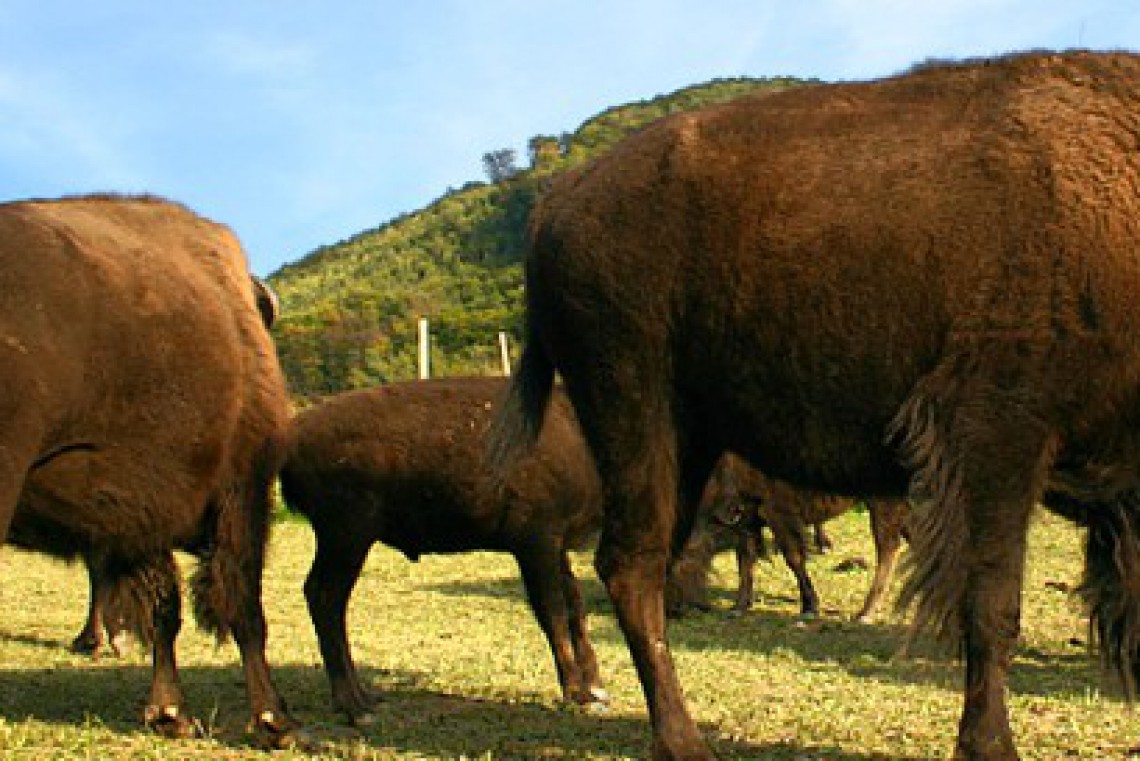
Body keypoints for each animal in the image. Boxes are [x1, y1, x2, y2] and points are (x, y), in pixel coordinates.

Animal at [0, 191, 298, 742]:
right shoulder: (241, 495)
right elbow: (243, 606)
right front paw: (273, 720)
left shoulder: (135, 516)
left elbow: (163, 609)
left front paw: (169, 713)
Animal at [277, 378, 611, 724]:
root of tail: (292, 434)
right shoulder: (536, 541)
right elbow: (554, 613)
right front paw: (577, 694)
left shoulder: (558, 546)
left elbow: (576, 610)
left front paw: (596, 690)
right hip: (347, 537)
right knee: (325, 597)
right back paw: (354, 705)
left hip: (343, 540)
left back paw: (365, 698)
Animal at [487, 48, 1140, 761]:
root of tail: (557, 202)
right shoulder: (998, 438)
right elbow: (992, 606)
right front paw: (989, 745)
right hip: (634, 417)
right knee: (631, 568)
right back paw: (684, 741)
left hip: (687, 445)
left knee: (650, 567)